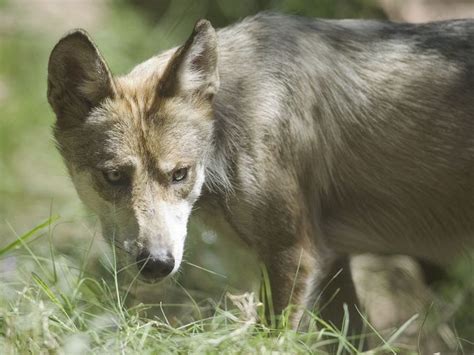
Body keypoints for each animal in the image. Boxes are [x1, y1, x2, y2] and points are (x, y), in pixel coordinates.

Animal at [46, 12, 472, 336]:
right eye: (114, 176)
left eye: (180, 174)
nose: (156, 263)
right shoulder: (333, 262)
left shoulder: (295, 255)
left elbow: (271, 339)